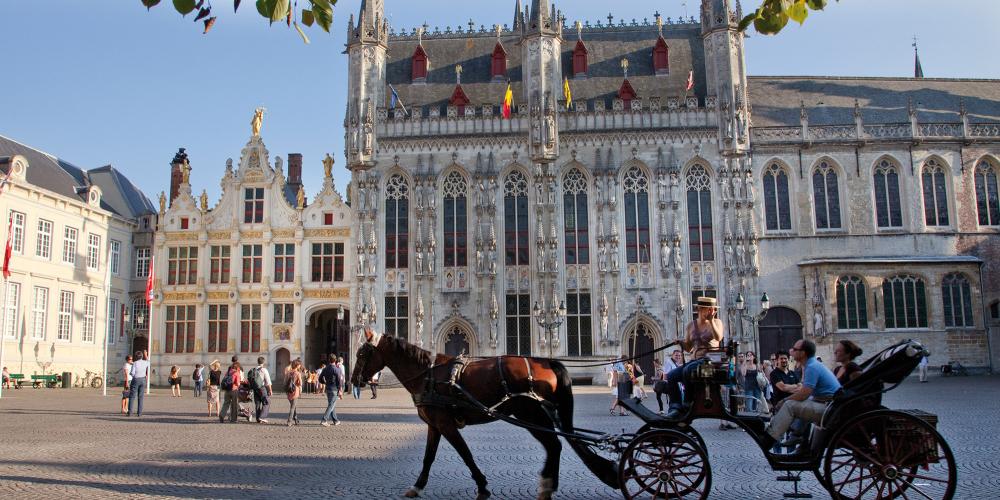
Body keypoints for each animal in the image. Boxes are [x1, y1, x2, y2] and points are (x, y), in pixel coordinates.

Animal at [350, 330, 616, 498]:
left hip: (531, 415)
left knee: (554, 445)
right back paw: (549, 485)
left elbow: (465, 454)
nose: (353, 381)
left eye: (362, 354)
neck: (427, 373)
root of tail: (548, 361)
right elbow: (428, 458)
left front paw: (483, 486)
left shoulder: (446, 424)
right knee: (556, 446)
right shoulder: (434, 425)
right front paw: (417, 487)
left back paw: (546, 484)